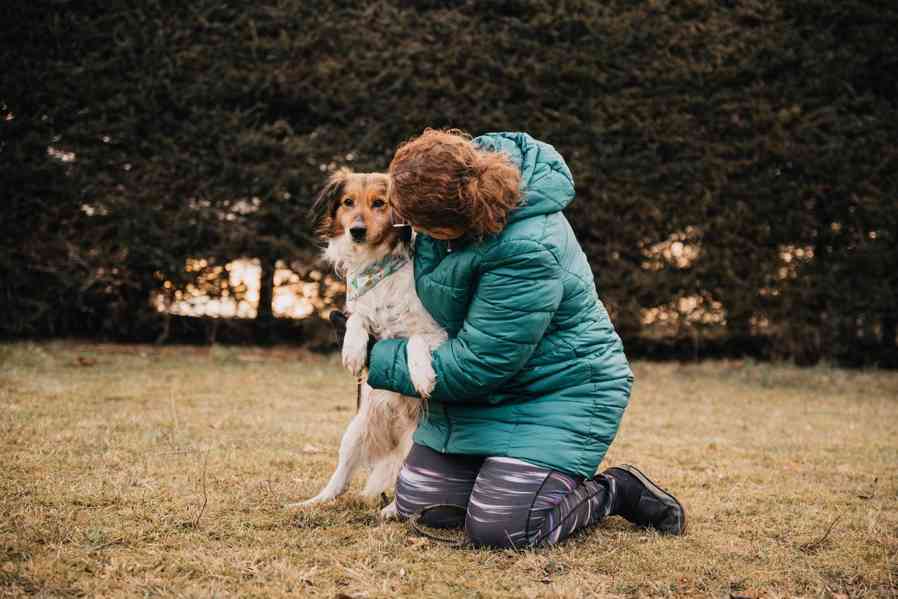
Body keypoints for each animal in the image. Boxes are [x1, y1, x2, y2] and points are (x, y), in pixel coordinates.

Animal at [288, 169, 448, 520]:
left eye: (379, 203)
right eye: (348, 202)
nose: (356, 231)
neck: (376, 265)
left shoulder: (438, 331)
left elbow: (414, 339)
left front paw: (421, 375)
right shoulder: (357, 308)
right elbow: (357, 317)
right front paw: (352, 350)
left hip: (413, 445)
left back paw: (391, 510)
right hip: (356, 430)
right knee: (340, 480)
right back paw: (312, 502)